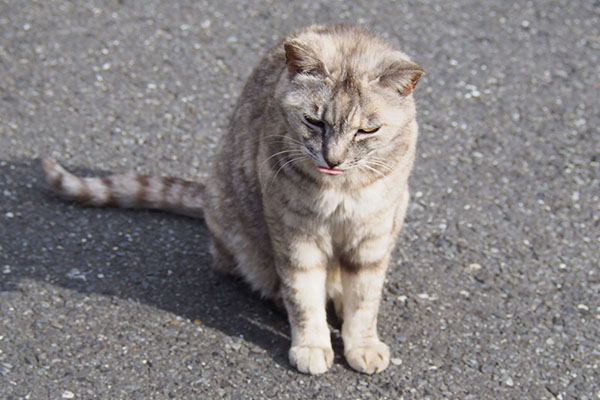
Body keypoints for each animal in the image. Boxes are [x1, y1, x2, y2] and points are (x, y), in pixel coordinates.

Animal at [42, 25, 424, 376]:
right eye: (313, 121)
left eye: (367, 130)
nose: (333, 158)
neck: (340, 189)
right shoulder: (294, 233)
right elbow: (303, 296)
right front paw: (312, 345)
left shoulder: (372, 234)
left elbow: (365, 299)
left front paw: (362, 343)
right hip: (234, 222)